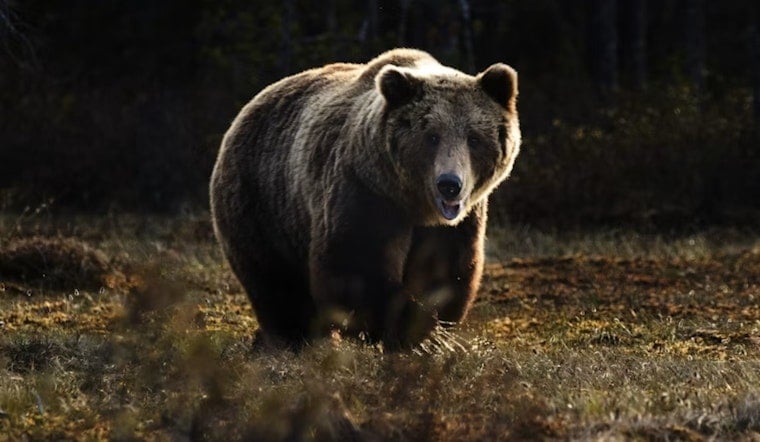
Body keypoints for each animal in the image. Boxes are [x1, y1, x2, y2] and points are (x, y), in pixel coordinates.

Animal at [210, 48, 521, 348]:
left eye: (474, 138)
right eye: (431, 136)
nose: (449, 185)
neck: (413, 203)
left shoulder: (455, 224)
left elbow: (445, 271)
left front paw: (428, 330)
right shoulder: (365, 192)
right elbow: (355, 265)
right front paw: (407, 329)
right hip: (262, 202)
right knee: (275, 281)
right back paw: (293, 338)